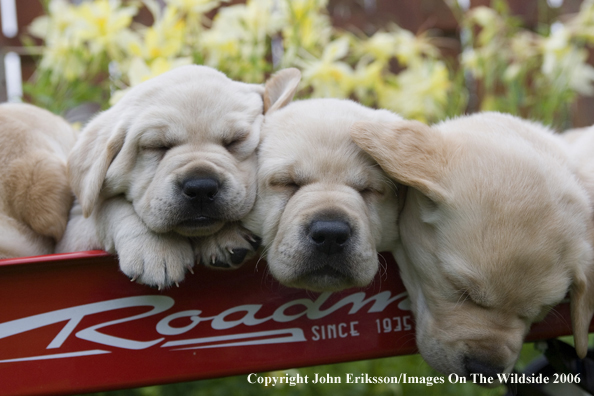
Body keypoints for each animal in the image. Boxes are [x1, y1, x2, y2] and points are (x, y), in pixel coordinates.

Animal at [57, 65, 298, 288]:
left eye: (235, 141)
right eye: (157, 146)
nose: (201, 188)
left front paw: (225, 234)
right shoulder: (76, 228)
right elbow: (109, 206)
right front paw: (156, 248)